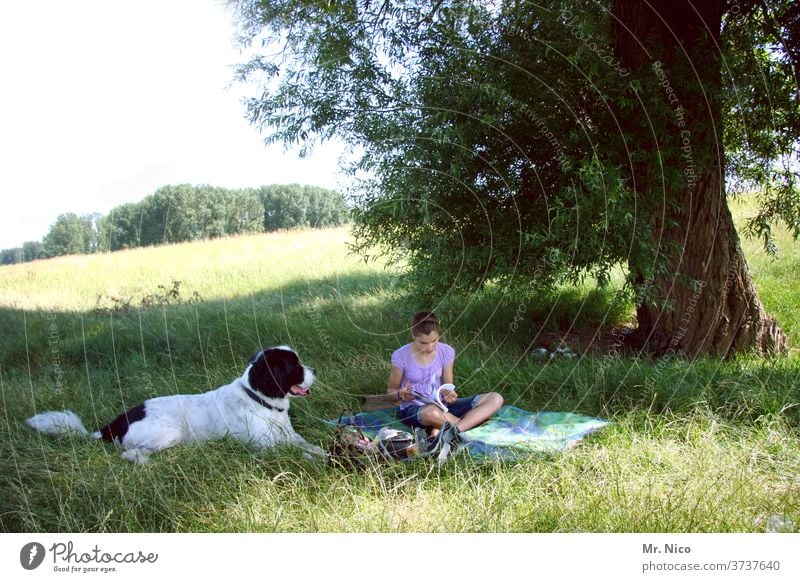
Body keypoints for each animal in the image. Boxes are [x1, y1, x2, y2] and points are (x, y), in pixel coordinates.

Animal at [27, 346, 328, 466]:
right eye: (294, 366)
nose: (315, 370)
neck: (260, 401)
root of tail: (115, 423)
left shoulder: (290, 436)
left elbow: (309, 445)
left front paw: (323, 453)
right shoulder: (265, 447)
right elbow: (298, 453)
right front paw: (316, 460)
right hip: (169, 433)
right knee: (131, 454)